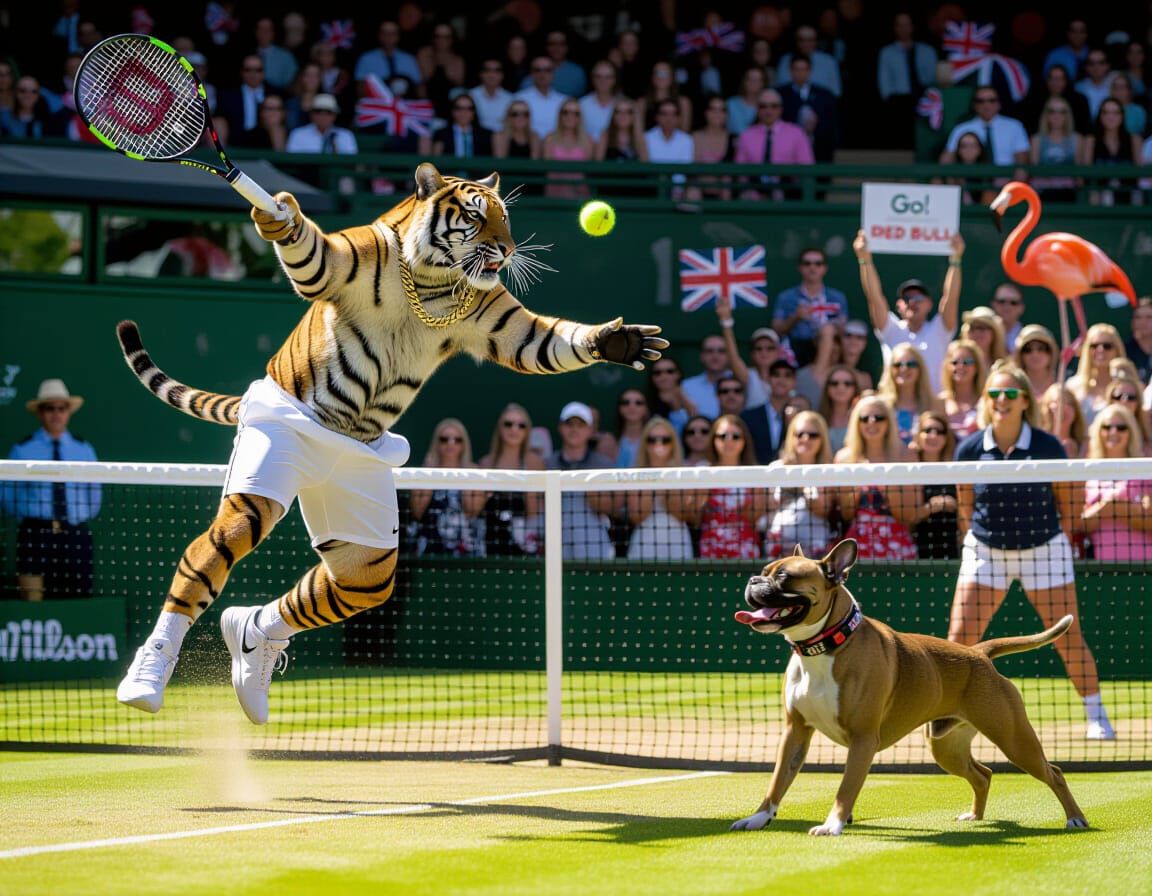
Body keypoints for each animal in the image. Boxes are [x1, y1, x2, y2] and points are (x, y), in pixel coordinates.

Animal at [116, 162, 667, 725]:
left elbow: (544, 344)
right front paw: (279, 216)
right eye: (475, 215)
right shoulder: (342, 262)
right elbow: (309, 259)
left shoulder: (501, 320)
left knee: (339, 588)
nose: (507, 249)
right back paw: (145, 682)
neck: (432, 278)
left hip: (368, 549)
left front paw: (616, 341)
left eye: (505, 217)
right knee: (212, 556)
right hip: (260, 480)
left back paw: (250, 651)